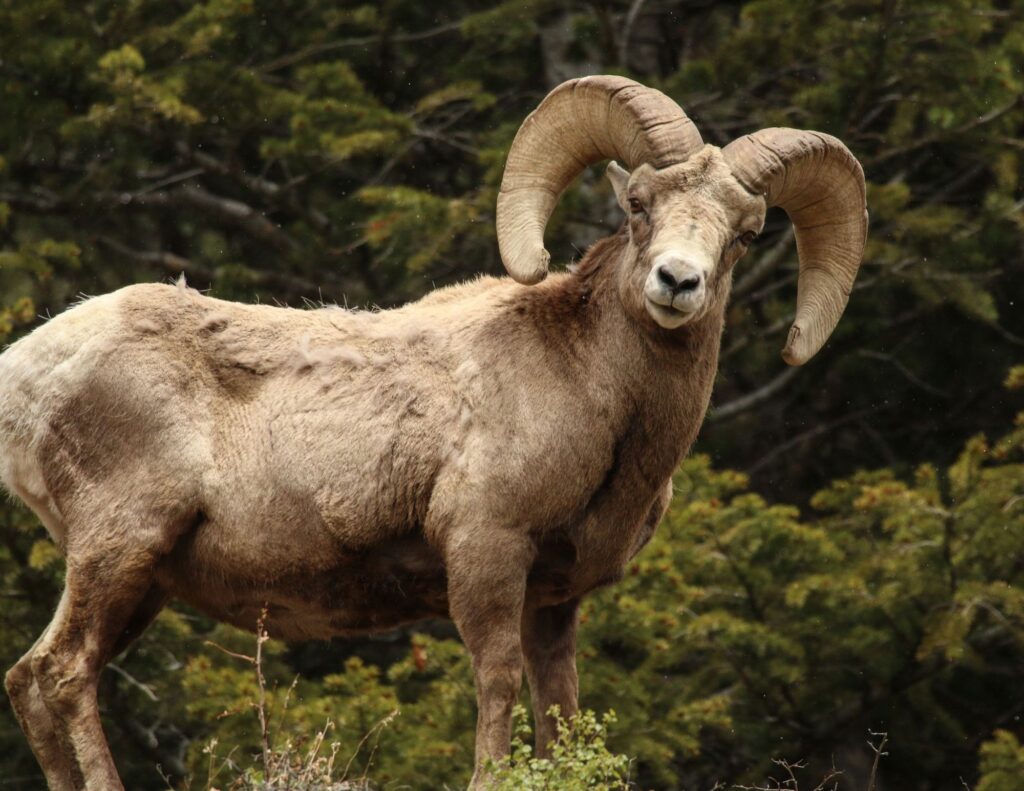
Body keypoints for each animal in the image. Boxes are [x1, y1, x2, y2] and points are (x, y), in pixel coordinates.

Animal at [0, 75, 867, 790]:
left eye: (745, 231)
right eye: (638, 206)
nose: (677, 282)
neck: (589, 392)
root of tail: (28, 369)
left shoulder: (555, 599)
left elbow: (559, 710)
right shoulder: (486, 552)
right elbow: (497, 683)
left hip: (140, 580)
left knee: (29, 679)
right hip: (122, 546)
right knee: (65, 673)